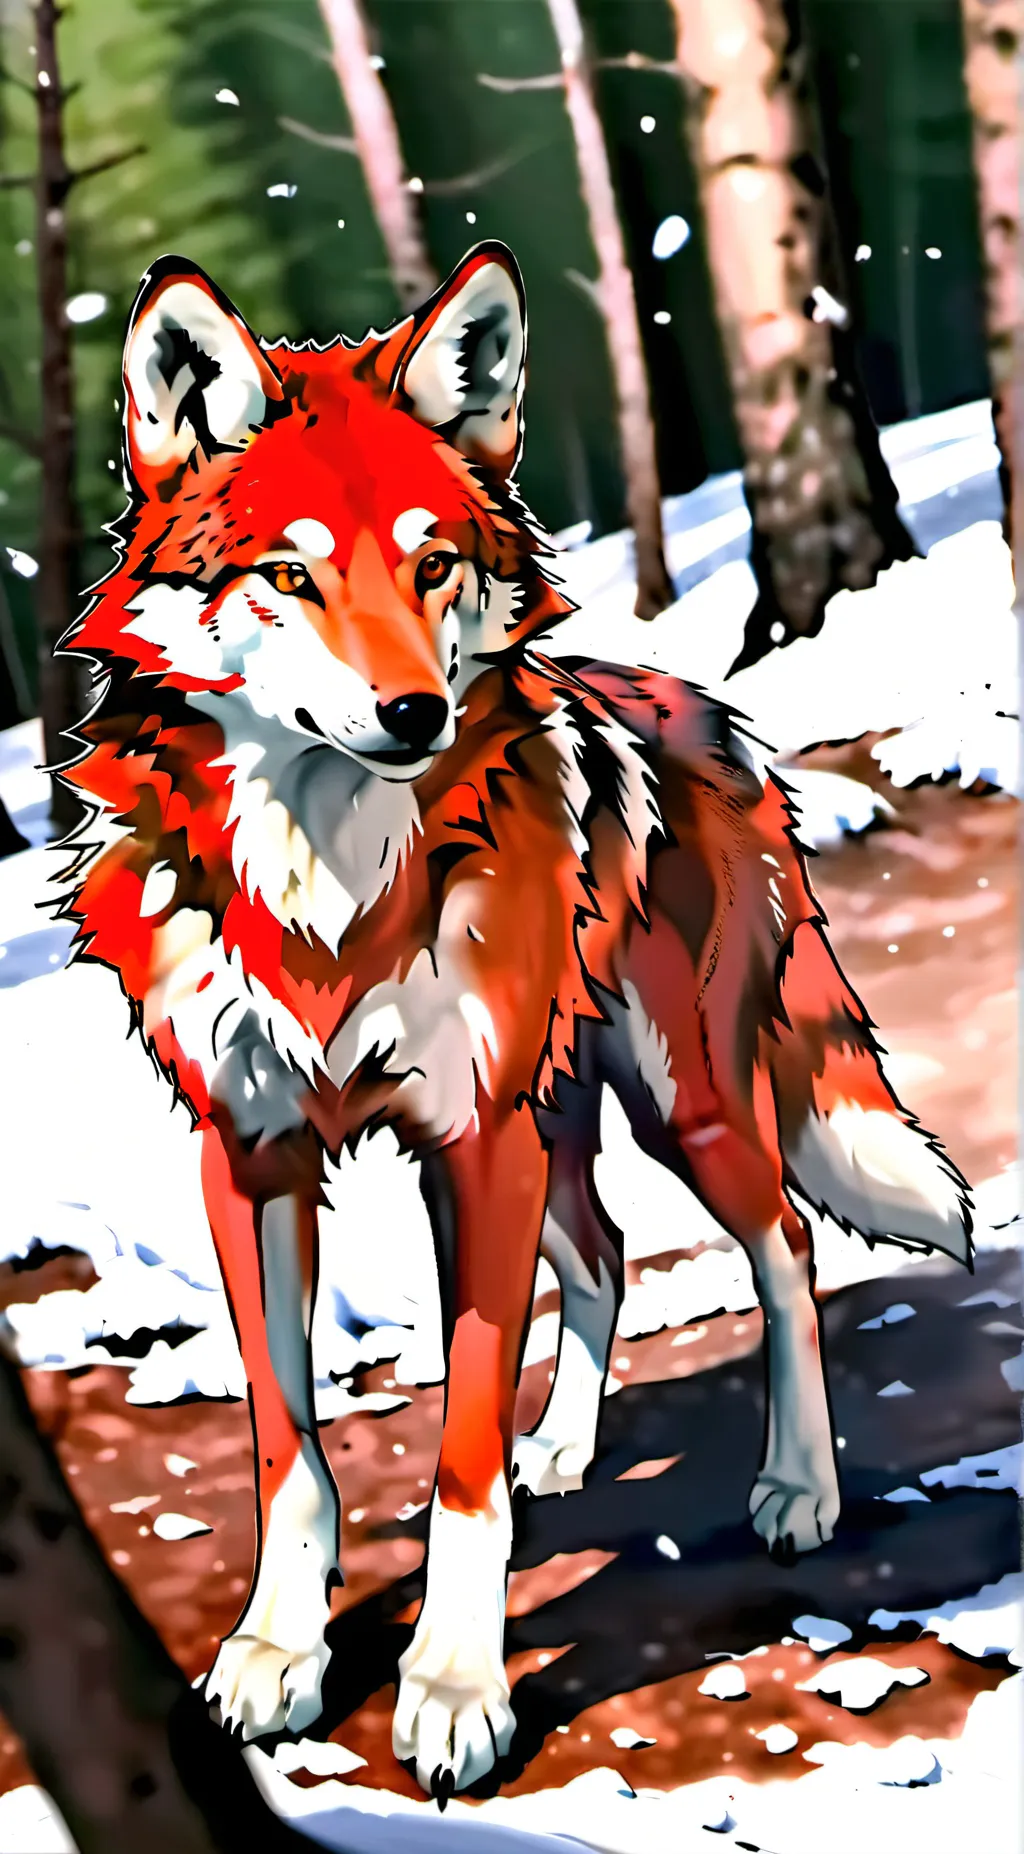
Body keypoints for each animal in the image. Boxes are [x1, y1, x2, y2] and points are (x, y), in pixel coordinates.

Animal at [58, 244, 971, 1798]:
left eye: (432, 564)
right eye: (290, 576)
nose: (414, 713)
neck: (326, 886)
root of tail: (703, 710)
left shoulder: (474, 1142)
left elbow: (460, 1467)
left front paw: (453, 1687)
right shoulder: (252, 1158)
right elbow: (286, 1446)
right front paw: (278, 1653)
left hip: (677, 1108)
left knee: (786, 1247)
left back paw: (798, 1486)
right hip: (557, 1125)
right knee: (603, 1253)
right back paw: (571, 1446)